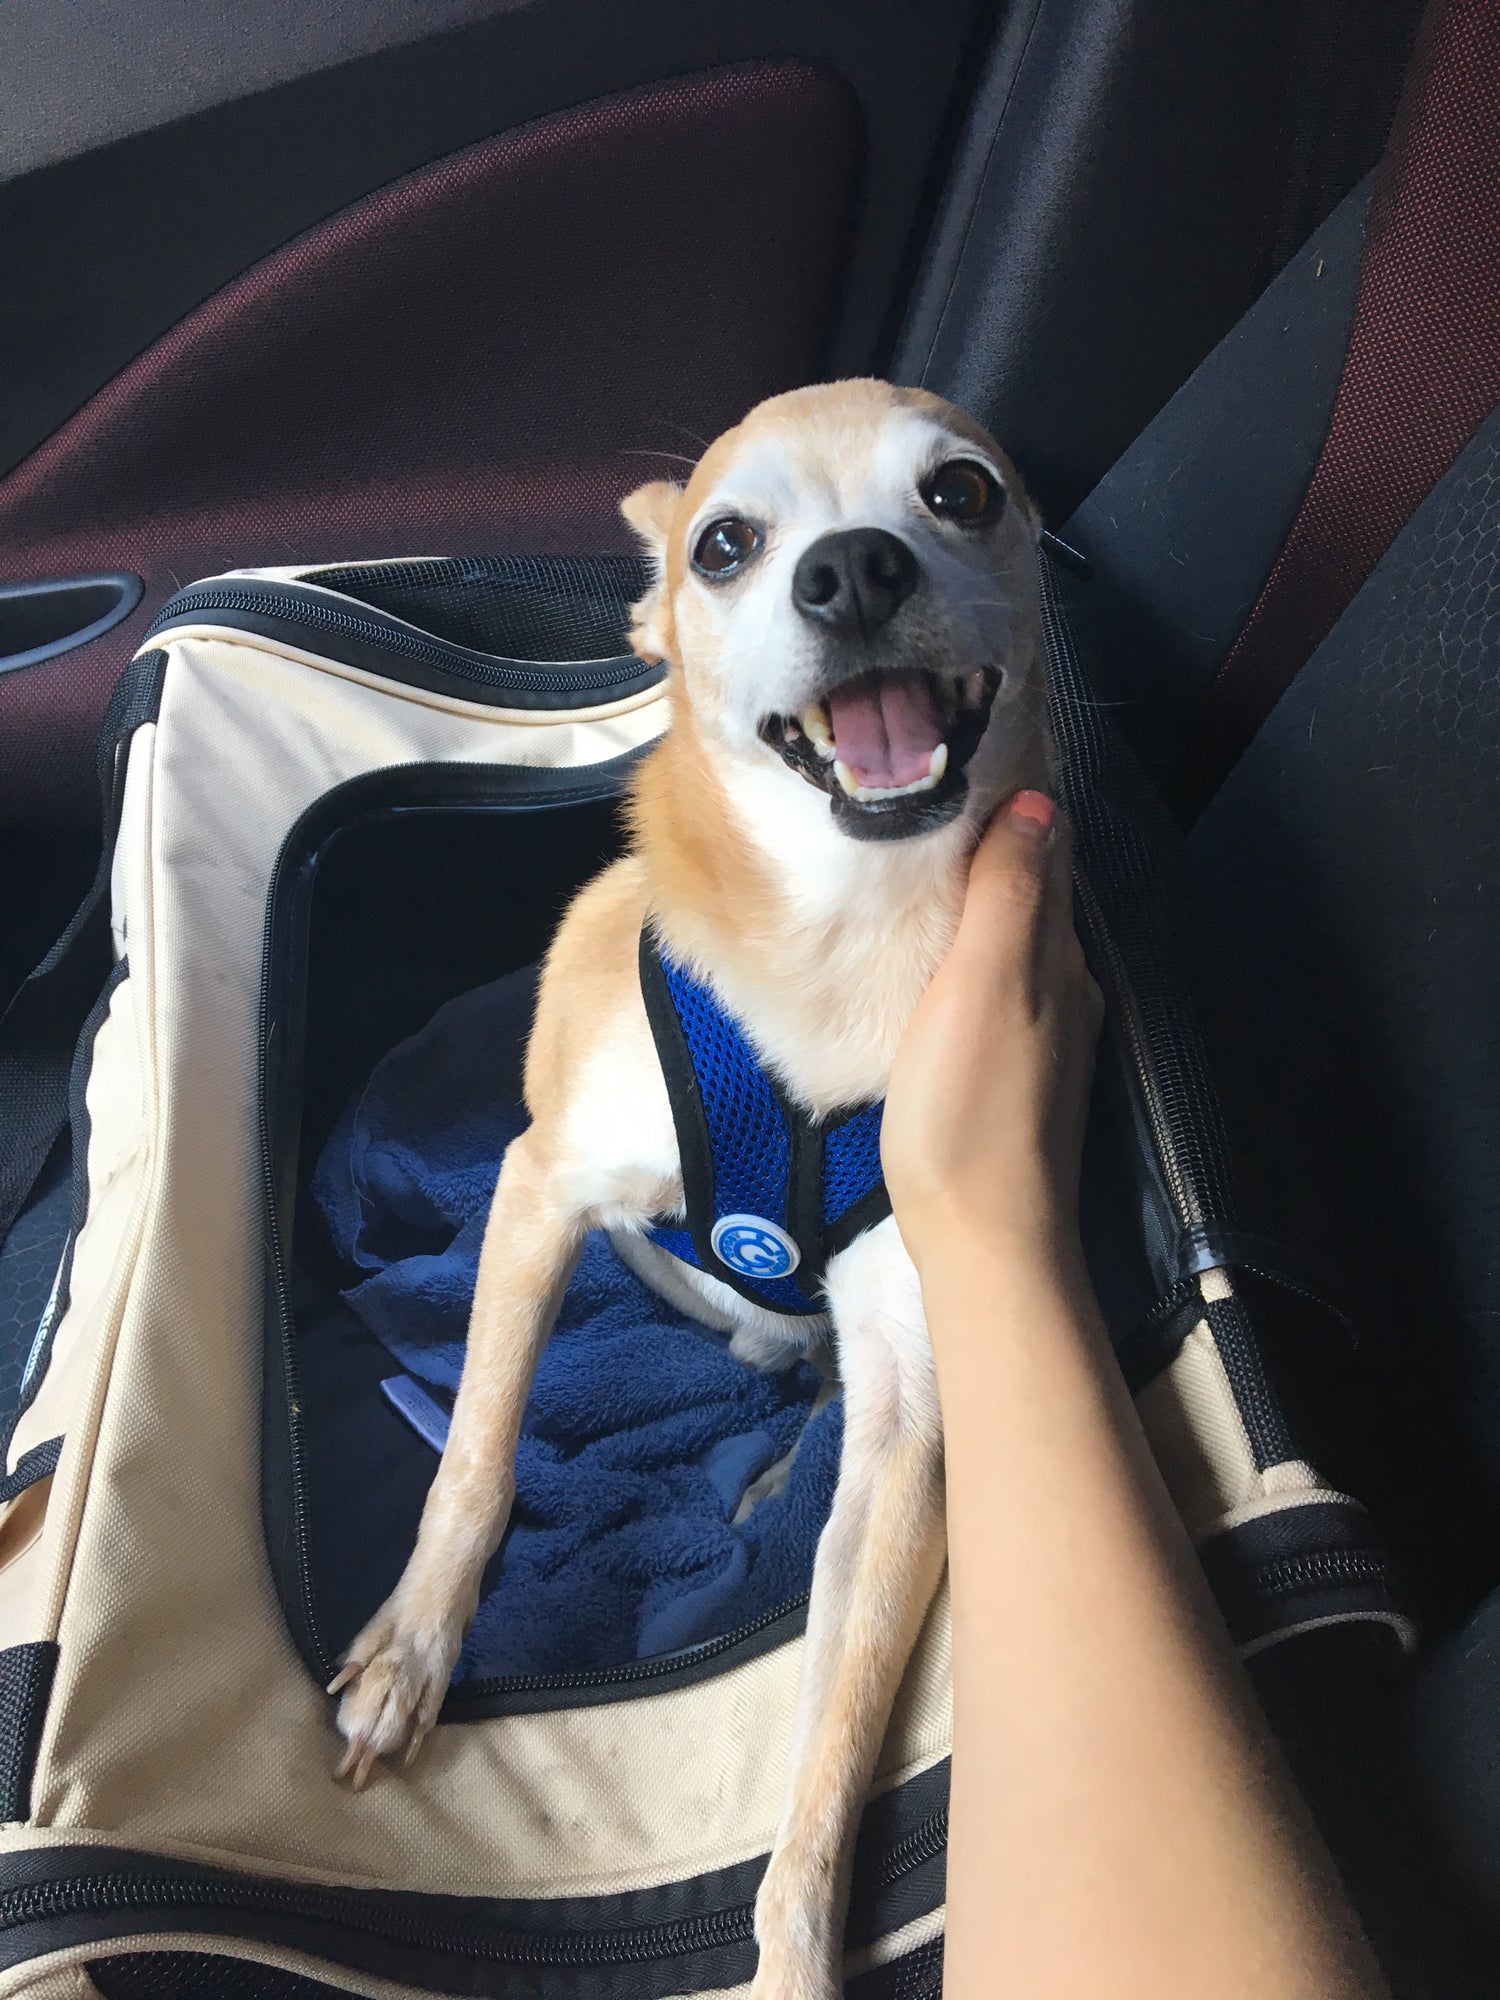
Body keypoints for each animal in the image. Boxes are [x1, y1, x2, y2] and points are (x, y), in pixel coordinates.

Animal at [334, 378, 1048, 2000]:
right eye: (725, 545)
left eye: (963, 492)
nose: (852, 570)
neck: (843, 937)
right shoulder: (541, 1187)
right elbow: (479, 1454)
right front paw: (413, 1648)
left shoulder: (911, 1419)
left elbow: (830, 1754)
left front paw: (790, 1955)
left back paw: (776, 1472)